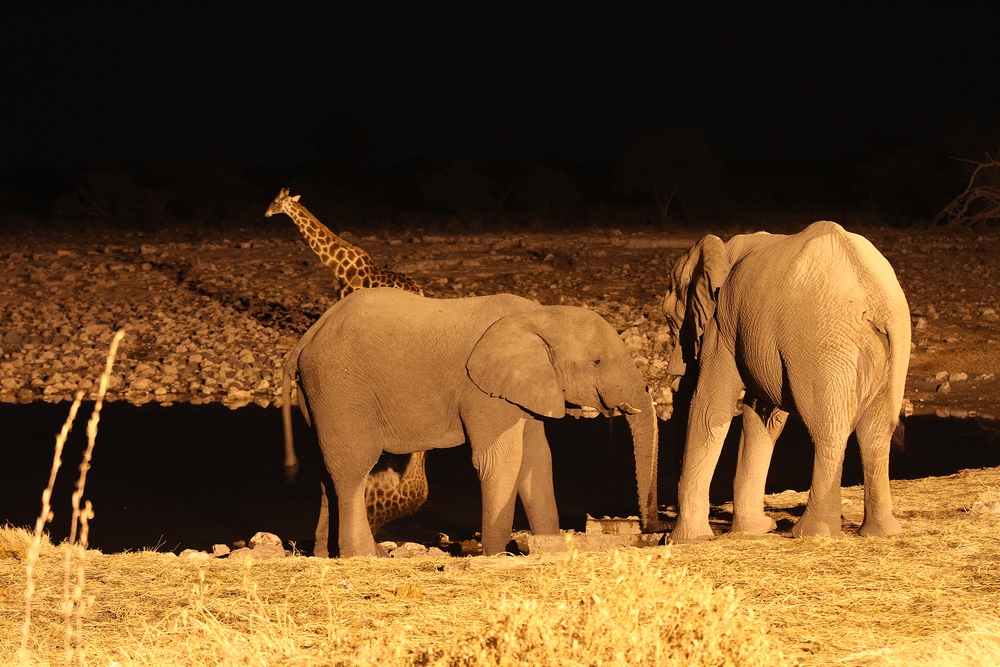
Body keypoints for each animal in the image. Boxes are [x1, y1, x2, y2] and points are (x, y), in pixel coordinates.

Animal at [282, 288, 660, 560]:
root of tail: (307, 336)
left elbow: (537, 460)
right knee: (352, 469)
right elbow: (501, 461)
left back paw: (328, 554)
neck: (538, 315)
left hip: (319, 394)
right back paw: (364, 556)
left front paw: (548, 545)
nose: (651, 529)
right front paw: (495, 555)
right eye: (596, 362)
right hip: (340, 387)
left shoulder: (527, 388)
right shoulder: (483, 391)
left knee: (327, 473)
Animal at [664, 220, 916, 544]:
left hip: (820, 343)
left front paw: (685, 540)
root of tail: (877, 297)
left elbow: (710, 409)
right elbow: (763, 417)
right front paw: (755, 530)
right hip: (891, 346)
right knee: (875, 432)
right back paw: (880, 532)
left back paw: (812, 532)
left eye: (670, 318)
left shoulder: (721, 325)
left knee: (829, 429)